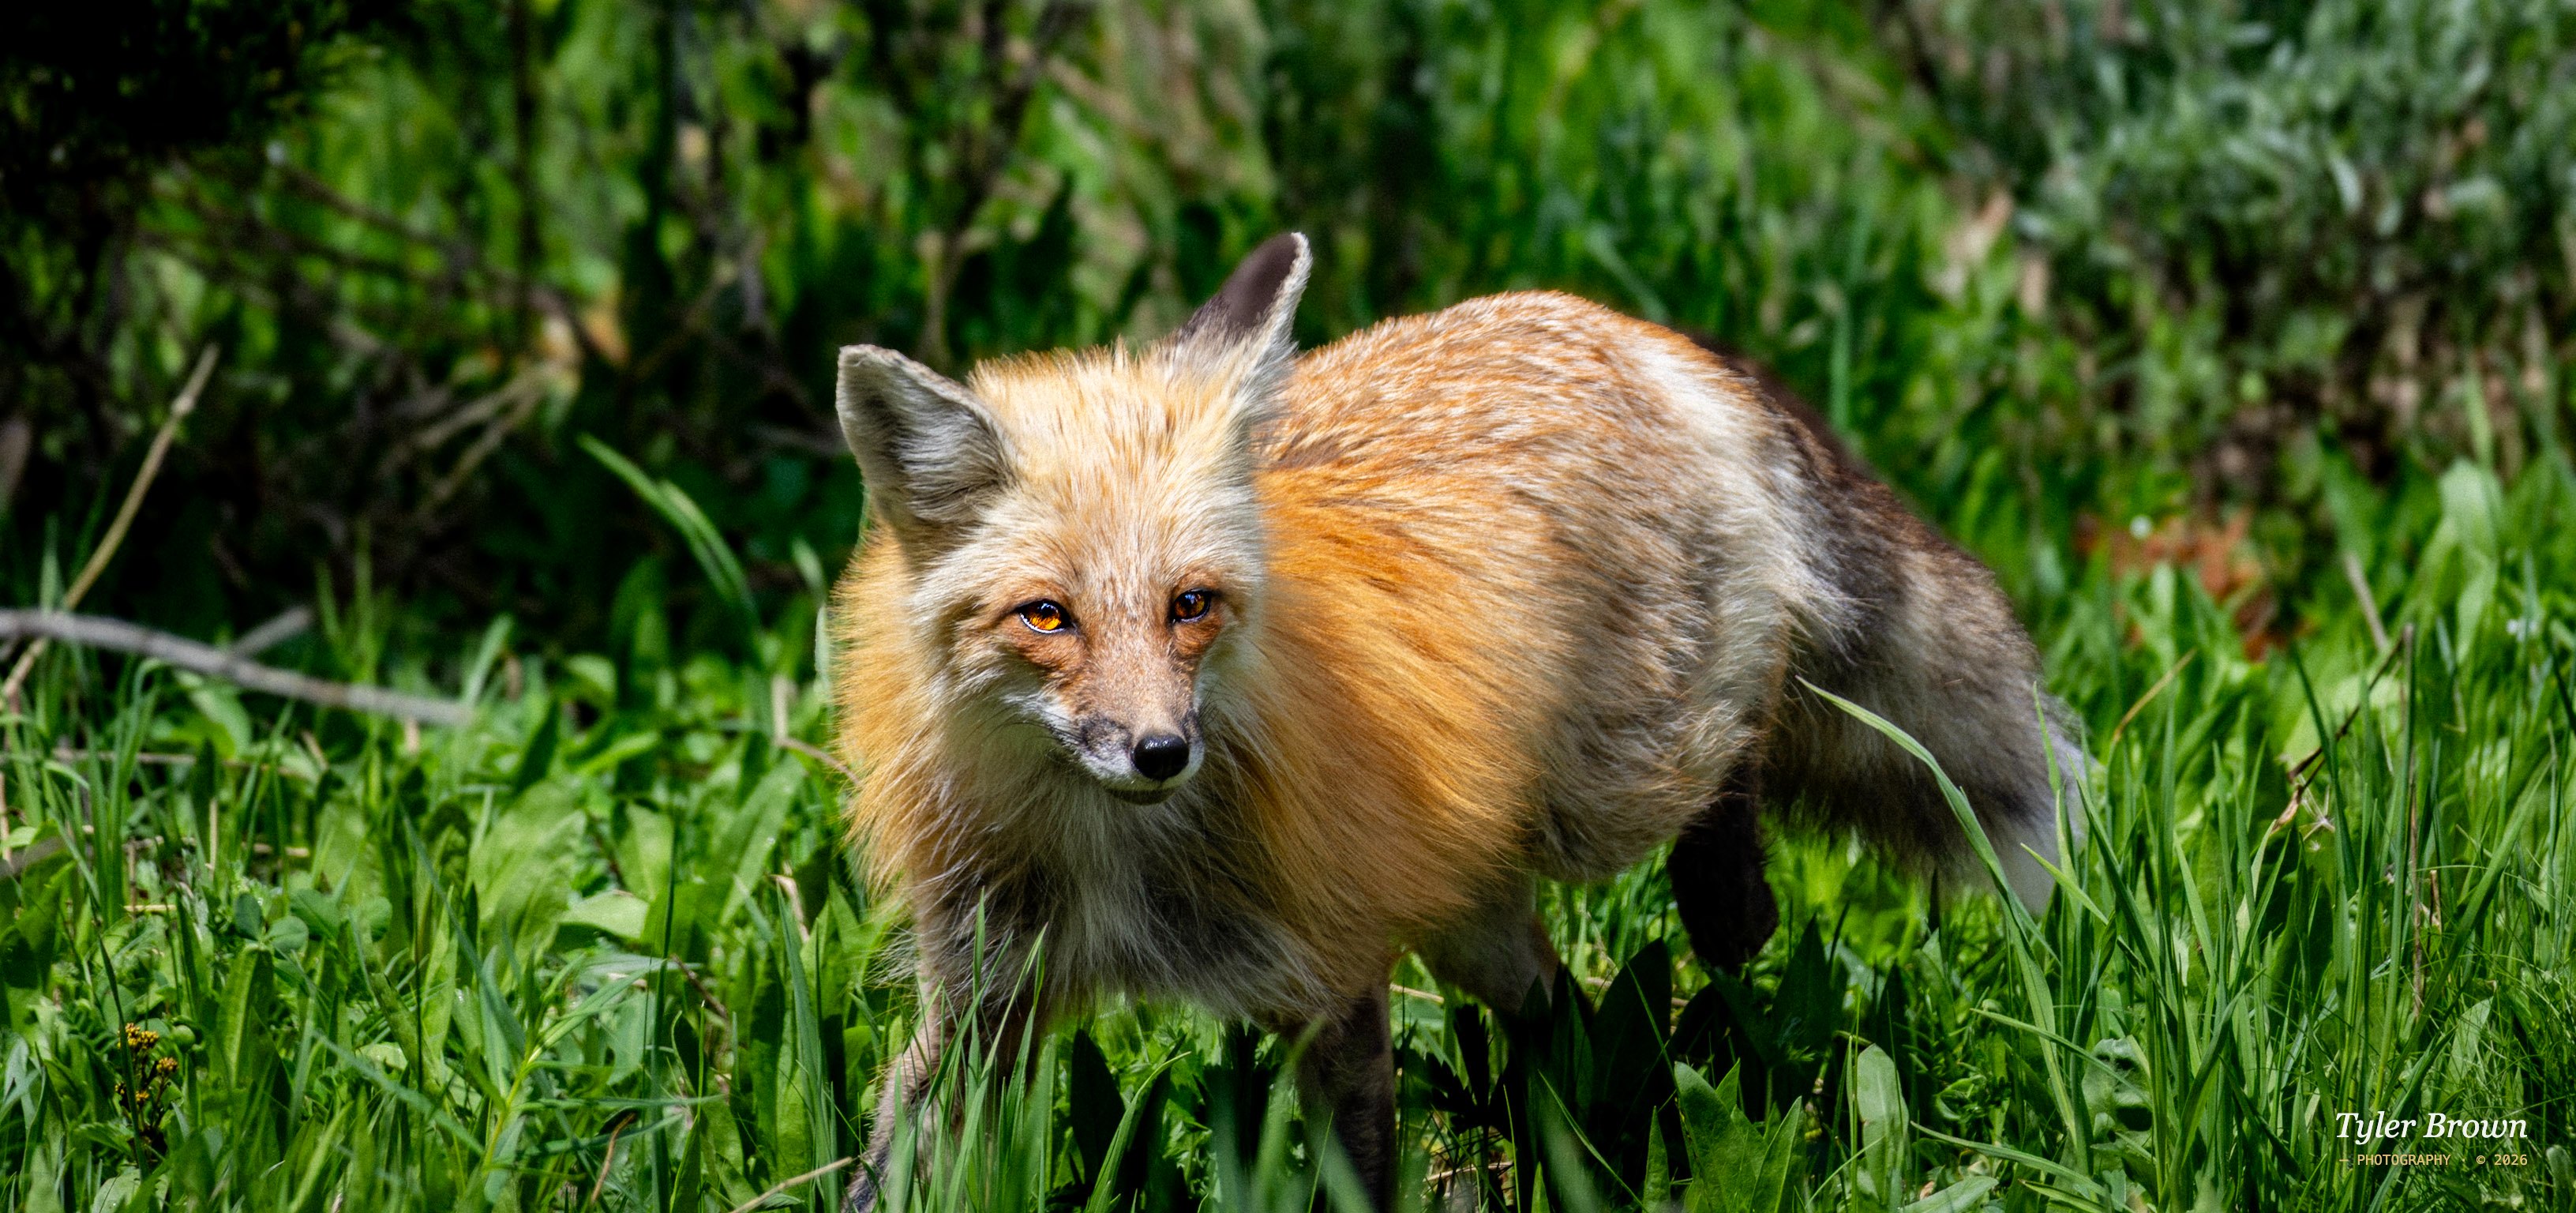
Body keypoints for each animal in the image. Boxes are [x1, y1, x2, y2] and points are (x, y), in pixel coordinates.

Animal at [829, 233, 2083, 1208]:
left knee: (1748, 743)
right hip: (1466, 910)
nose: (1160, 752)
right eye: (1046, 617)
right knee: (1562, 1004)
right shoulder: (984, 1001)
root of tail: (1624, 329)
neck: (1114, 854)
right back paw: (1579, 1128)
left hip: (1616, 785)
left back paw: (1724, 900)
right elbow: (885, 1167)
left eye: (1190, 604)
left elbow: (1360, 1181)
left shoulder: (1331, 976)